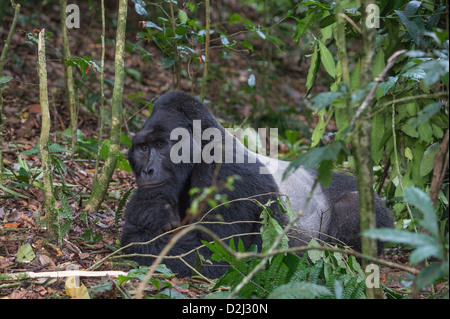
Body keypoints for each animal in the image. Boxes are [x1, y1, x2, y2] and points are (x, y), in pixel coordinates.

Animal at [121, 90, 392, 278]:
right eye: (143, 148)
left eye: (160, 145)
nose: (147, 170)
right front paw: (149, 213)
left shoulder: (226, 175)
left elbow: (213, 256)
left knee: (352, 204)